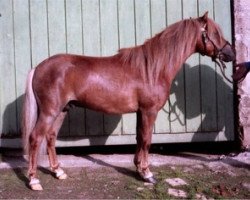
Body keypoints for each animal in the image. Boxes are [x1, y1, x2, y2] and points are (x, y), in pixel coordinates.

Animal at [21, 12, 234, 191]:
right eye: (215, 33)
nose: (231, 54)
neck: (152, 69)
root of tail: (38, 67)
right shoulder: (149, 111)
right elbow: (147, 140)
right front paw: (147, 174)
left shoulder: (141, 112)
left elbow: (140, 138)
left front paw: (139, 169)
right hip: (50, 111)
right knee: (35, 138)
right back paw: (34, 180)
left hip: (62, 110)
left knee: (50, 137)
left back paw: (58, 171)